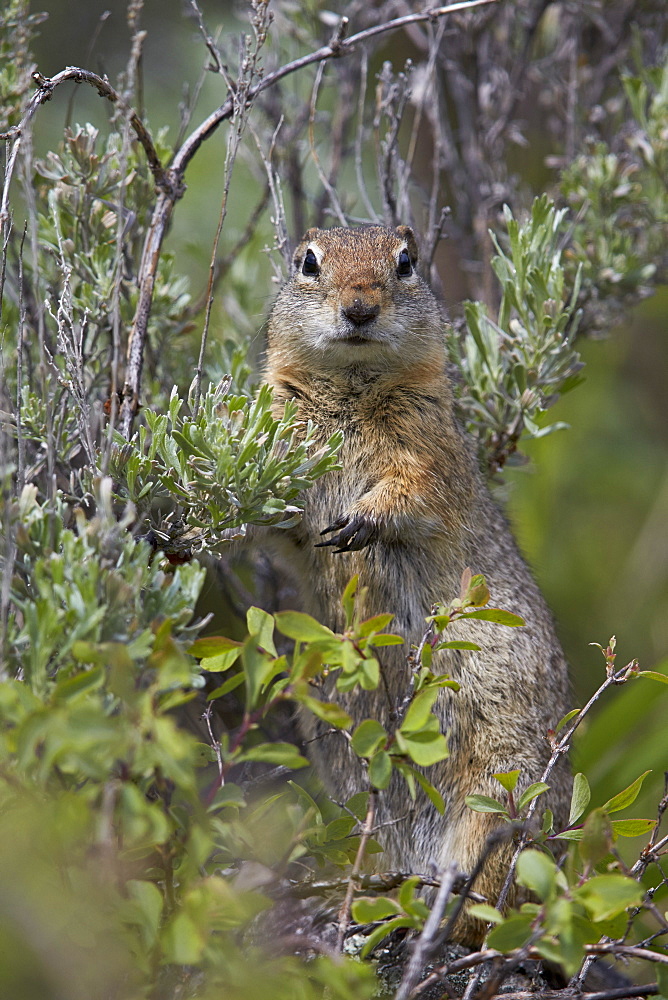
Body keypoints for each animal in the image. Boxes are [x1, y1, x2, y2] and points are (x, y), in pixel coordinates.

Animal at [260, 223, 568, 940]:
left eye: (406, 262)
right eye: (307, 262)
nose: (360, 308)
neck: (350, 388)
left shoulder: (430, 442)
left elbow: (413, 488)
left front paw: (363, 519)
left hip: (502, 785)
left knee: (491, 893)